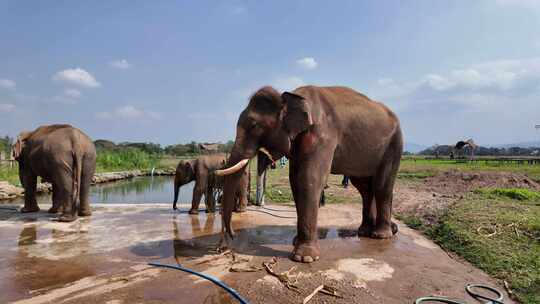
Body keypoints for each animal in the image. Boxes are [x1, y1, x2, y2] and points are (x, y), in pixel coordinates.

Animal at [217, 85, 402, 262]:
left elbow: (308, 179)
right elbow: (294, 181)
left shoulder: (322, 135)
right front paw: (296, 243)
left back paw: (381, 235)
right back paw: (365, 231)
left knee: (381, 185)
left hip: (394, 145)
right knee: (365, 188)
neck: (290, 96)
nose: (232, 236)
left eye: (254, 125)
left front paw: (304, 257)